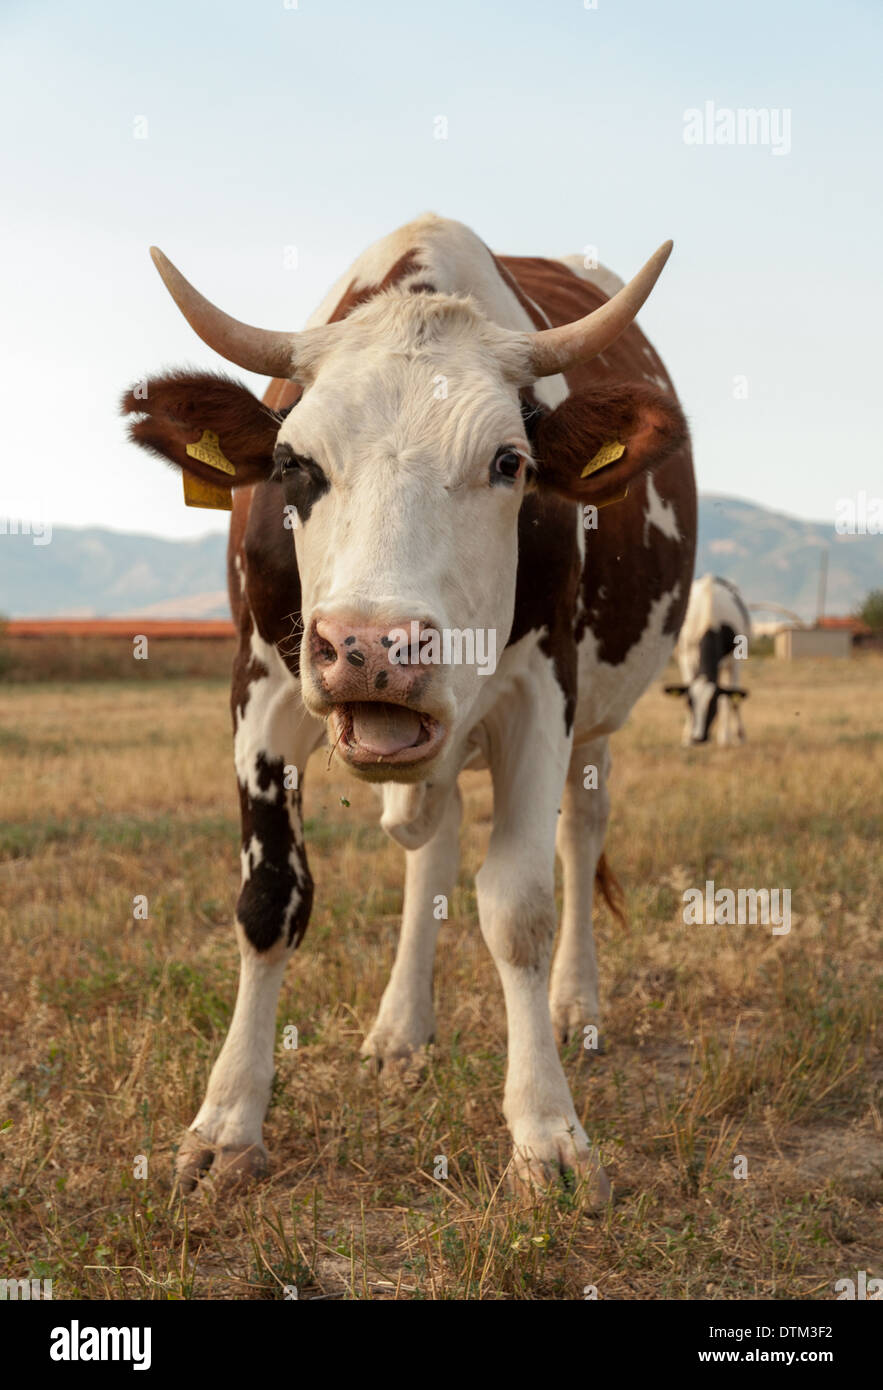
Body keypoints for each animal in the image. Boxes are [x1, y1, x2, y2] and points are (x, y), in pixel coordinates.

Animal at [122, 213, 696, 1201]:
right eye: (292, 464)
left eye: (508, 462)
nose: (370, 646)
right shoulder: (259, 690)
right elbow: (269, 899)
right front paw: (227, 1123)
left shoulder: (542, 691)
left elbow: (519, 909)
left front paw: (546, 1131)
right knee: (431, 839)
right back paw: (400, 1029)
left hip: (597, 717)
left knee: (580, 831)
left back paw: (574, 1003)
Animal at [665, 574, 751, 745]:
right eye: (690, 703)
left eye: (712, 705)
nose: (698, 737)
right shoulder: (686, 658)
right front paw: (687, 738)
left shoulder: (735, 661)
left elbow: (732, 699)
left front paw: (732, 737)